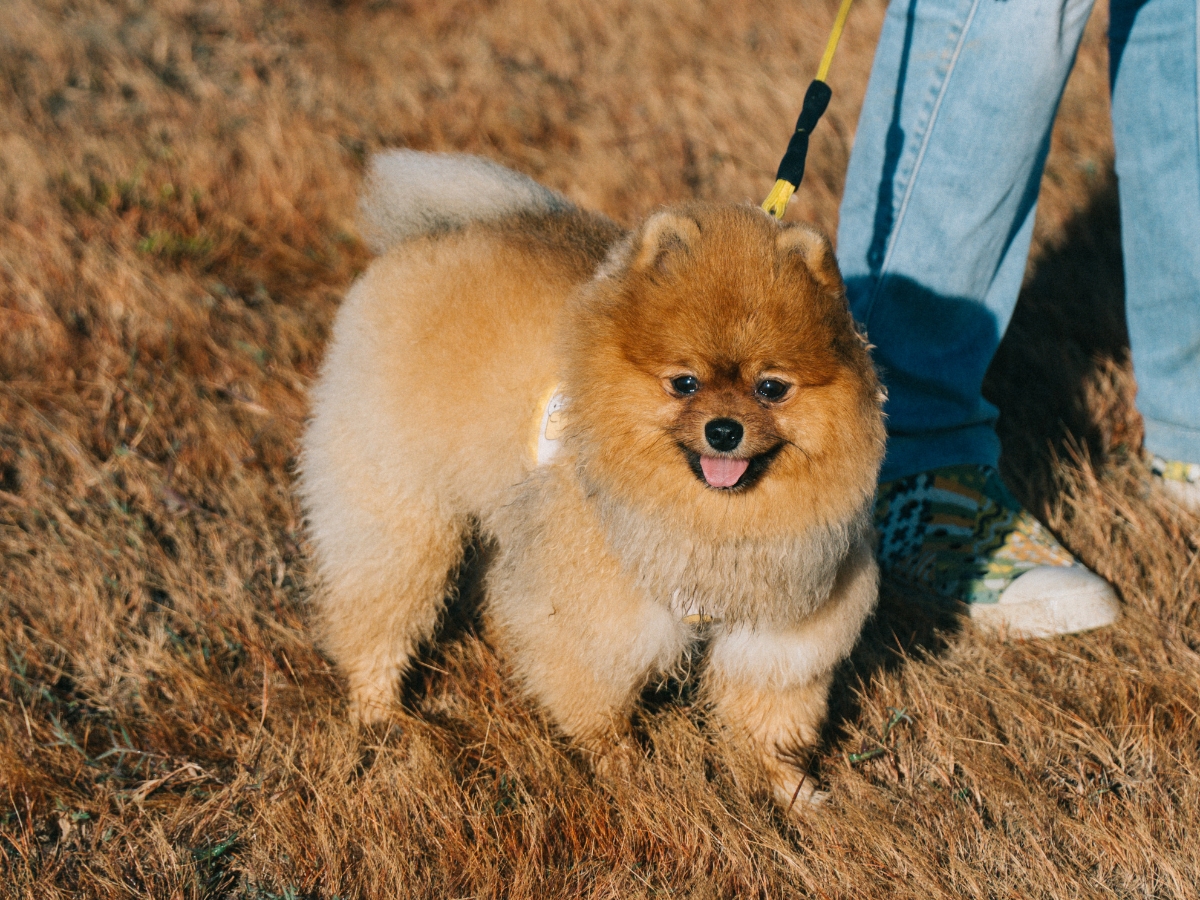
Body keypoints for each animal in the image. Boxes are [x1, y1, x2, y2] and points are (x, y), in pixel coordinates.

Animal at [296, 151, 888, 816]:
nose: (723, 430)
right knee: (378, 609)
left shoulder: (780, 630)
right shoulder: (592, 612)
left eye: (772, 388)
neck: (710, 521)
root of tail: (437, 232)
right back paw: (381, 716)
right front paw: (627, 774)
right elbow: (599, 706)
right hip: (403, 509)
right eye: (683, 383)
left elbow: (771, 718)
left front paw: (793, 791)